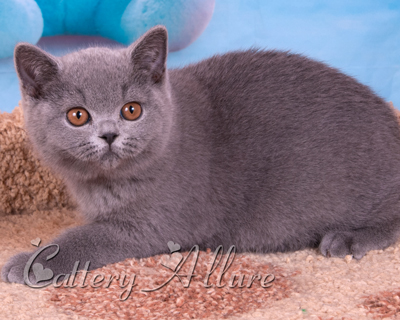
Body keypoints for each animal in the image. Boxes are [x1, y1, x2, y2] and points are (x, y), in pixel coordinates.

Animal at [2, 25, 400, 284]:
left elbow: (84, 237)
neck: (102, 184)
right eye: (77, 115)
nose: (110, 134)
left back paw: (347, 239)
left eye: (131, 110)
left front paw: (29, 262)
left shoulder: (153, 225)